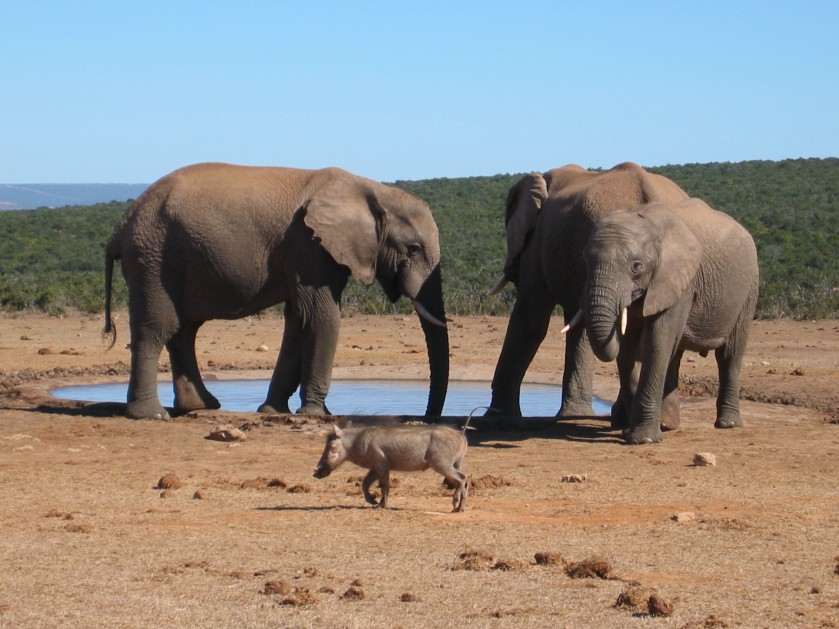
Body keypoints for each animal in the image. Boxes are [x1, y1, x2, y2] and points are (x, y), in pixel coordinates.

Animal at [104, 162, 450, 420]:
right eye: (413, 248)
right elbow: (322, 317)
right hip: (154, 257)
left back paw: (200, 406)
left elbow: (298, 321)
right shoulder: (310, 245)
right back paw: (152, 414)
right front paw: (317, 414)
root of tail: (120, 226)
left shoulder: (308, 252)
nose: (426, 416)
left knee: (184, 330)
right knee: (156, 329)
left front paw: (273, 411)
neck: (372, 190)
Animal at [580, 199, 756, 444]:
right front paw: (630, 431)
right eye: (586, 262)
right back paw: (668, 424)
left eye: (636, 266)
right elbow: (628, 348)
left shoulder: (680, 280)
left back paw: (727, 425)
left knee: (729, 354)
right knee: (676, 354)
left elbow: (656, 342)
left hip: (748, 291)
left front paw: (642, 439)